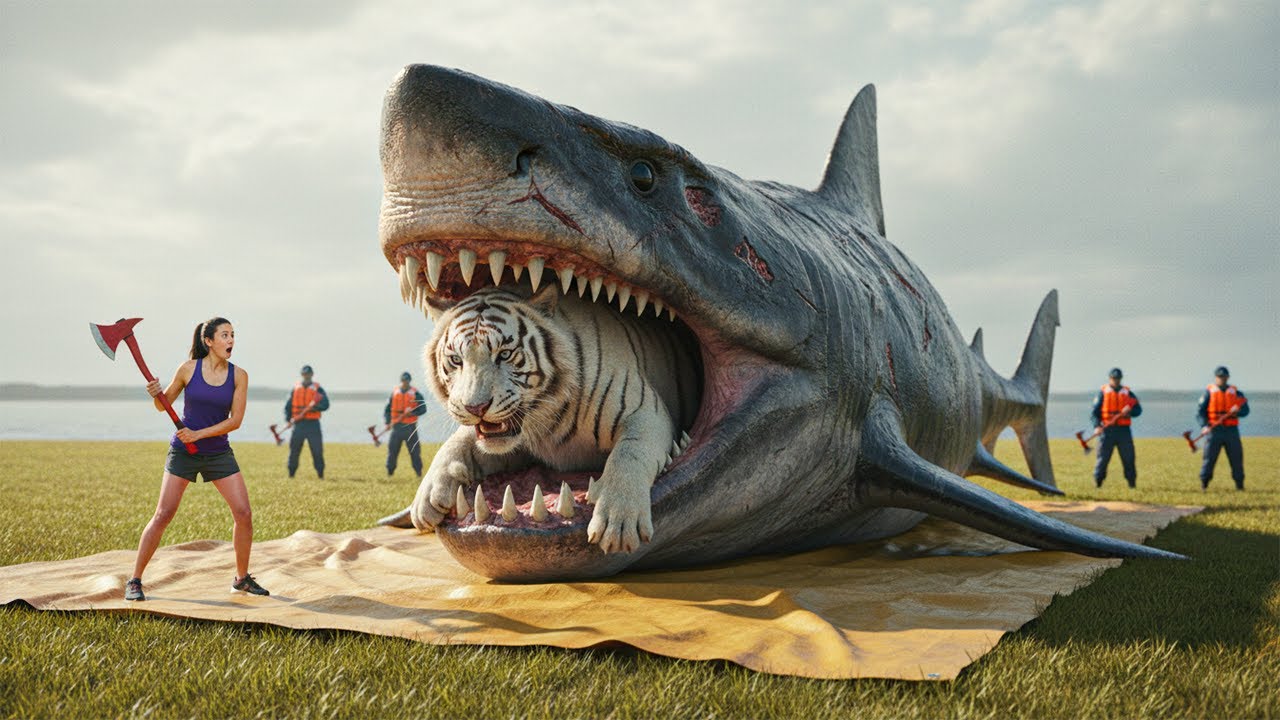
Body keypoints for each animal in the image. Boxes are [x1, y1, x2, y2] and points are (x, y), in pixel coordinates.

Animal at [409, 285, 701, 554]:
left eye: (504, 354)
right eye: (456, 360)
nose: (476, 407)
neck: (548, 417)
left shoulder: (643, 412)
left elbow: (628, 456)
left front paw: (617, 522)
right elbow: (458, 443)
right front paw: (426, 496)